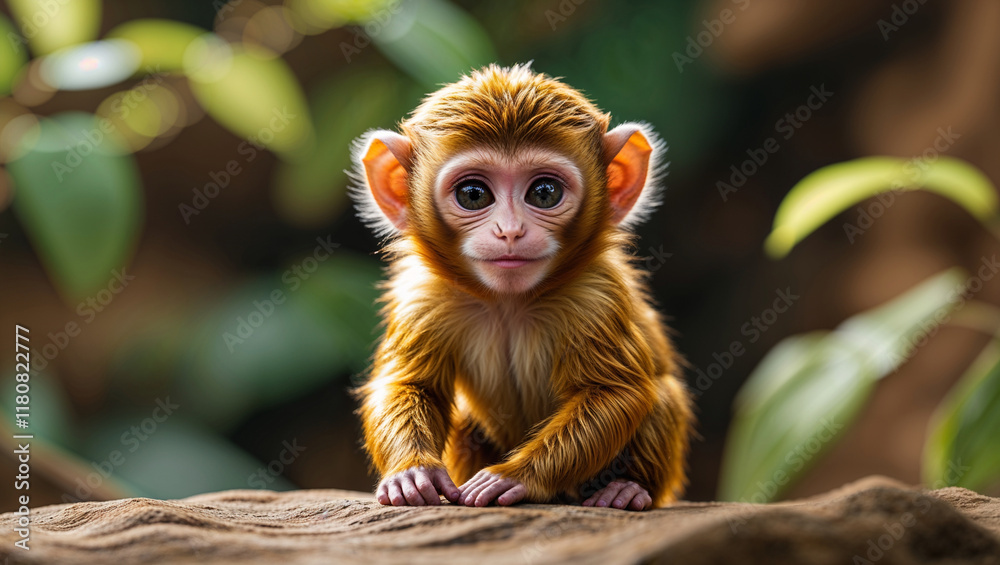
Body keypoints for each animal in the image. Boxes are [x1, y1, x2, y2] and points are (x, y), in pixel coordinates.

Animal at [350, 63, 693, 511]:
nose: (509, 231)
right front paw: (412, 471)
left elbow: (616, 392)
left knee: (662, 393)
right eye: (473, 194)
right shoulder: (422, 298)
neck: (507, 302)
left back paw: (629, 488)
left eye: (544, 193)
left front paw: (514, 477)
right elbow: (409, 384)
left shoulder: (595, 297)